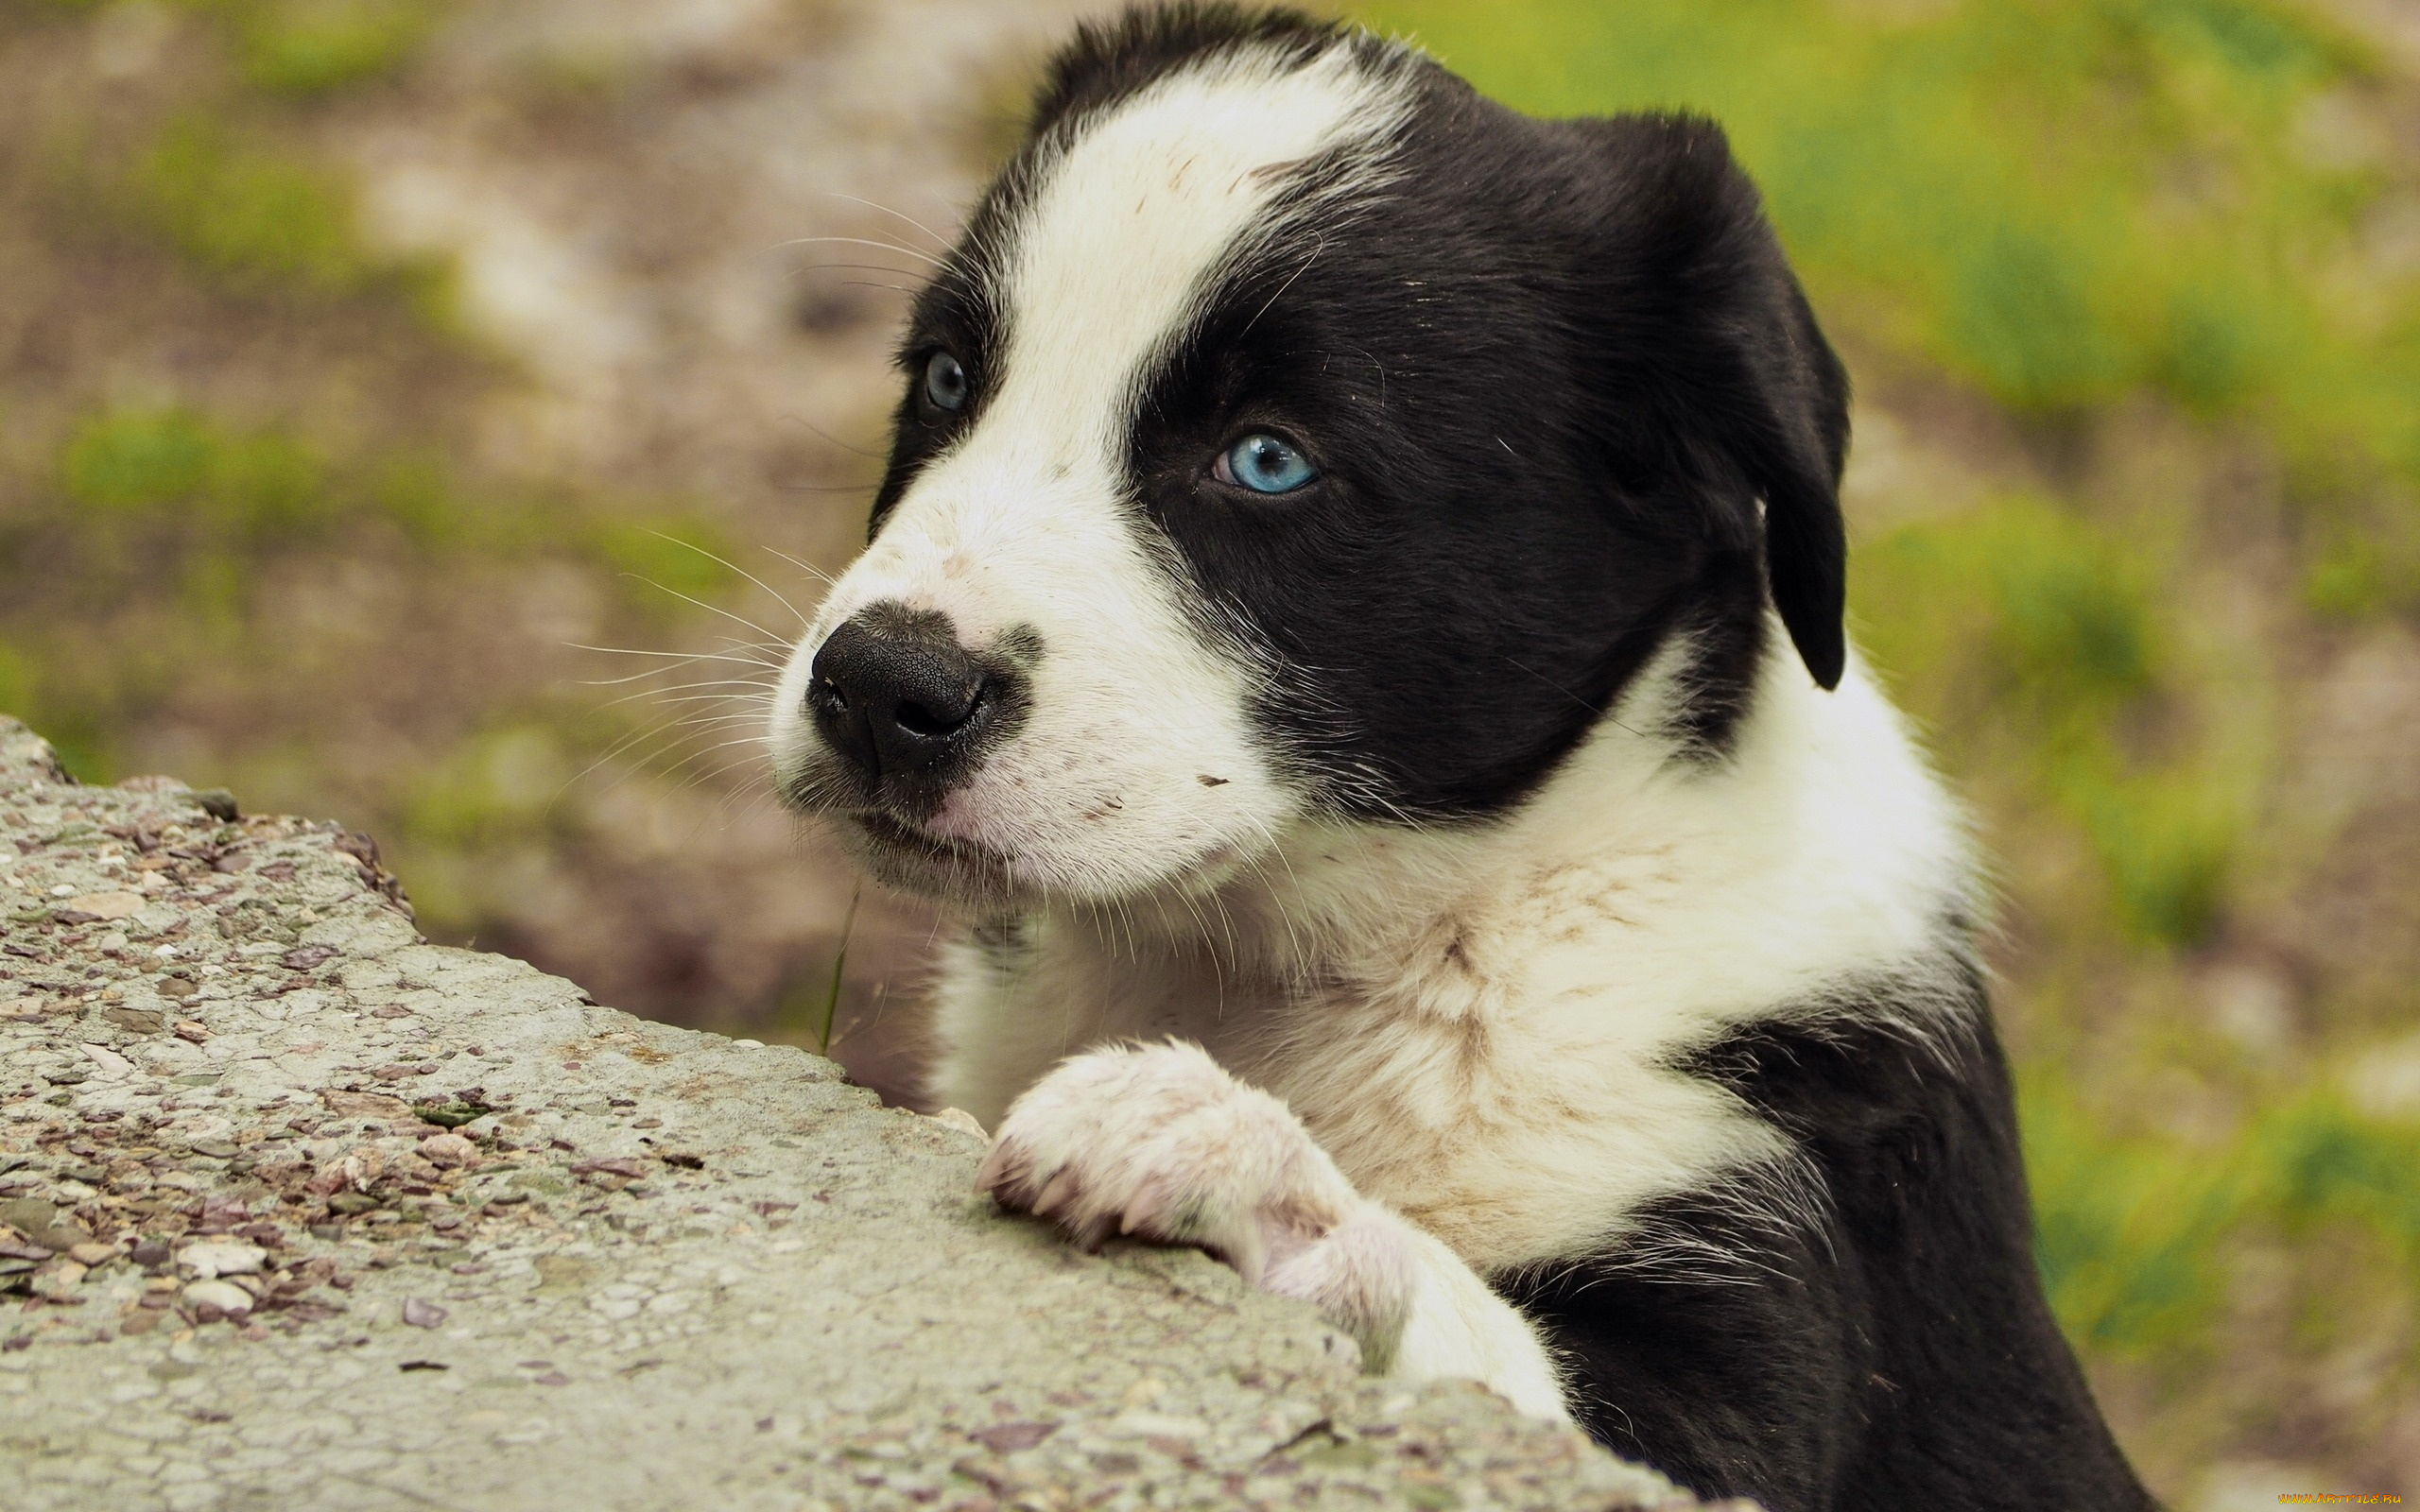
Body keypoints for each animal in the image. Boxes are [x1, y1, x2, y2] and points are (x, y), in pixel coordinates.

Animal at [764, 6, 2149, 1500]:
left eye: (1267, 460)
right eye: (947, 378)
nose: (877, 688)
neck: (1449, 927)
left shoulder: (1761, 1334)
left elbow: (1460, 1318)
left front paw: (1233, 1159)